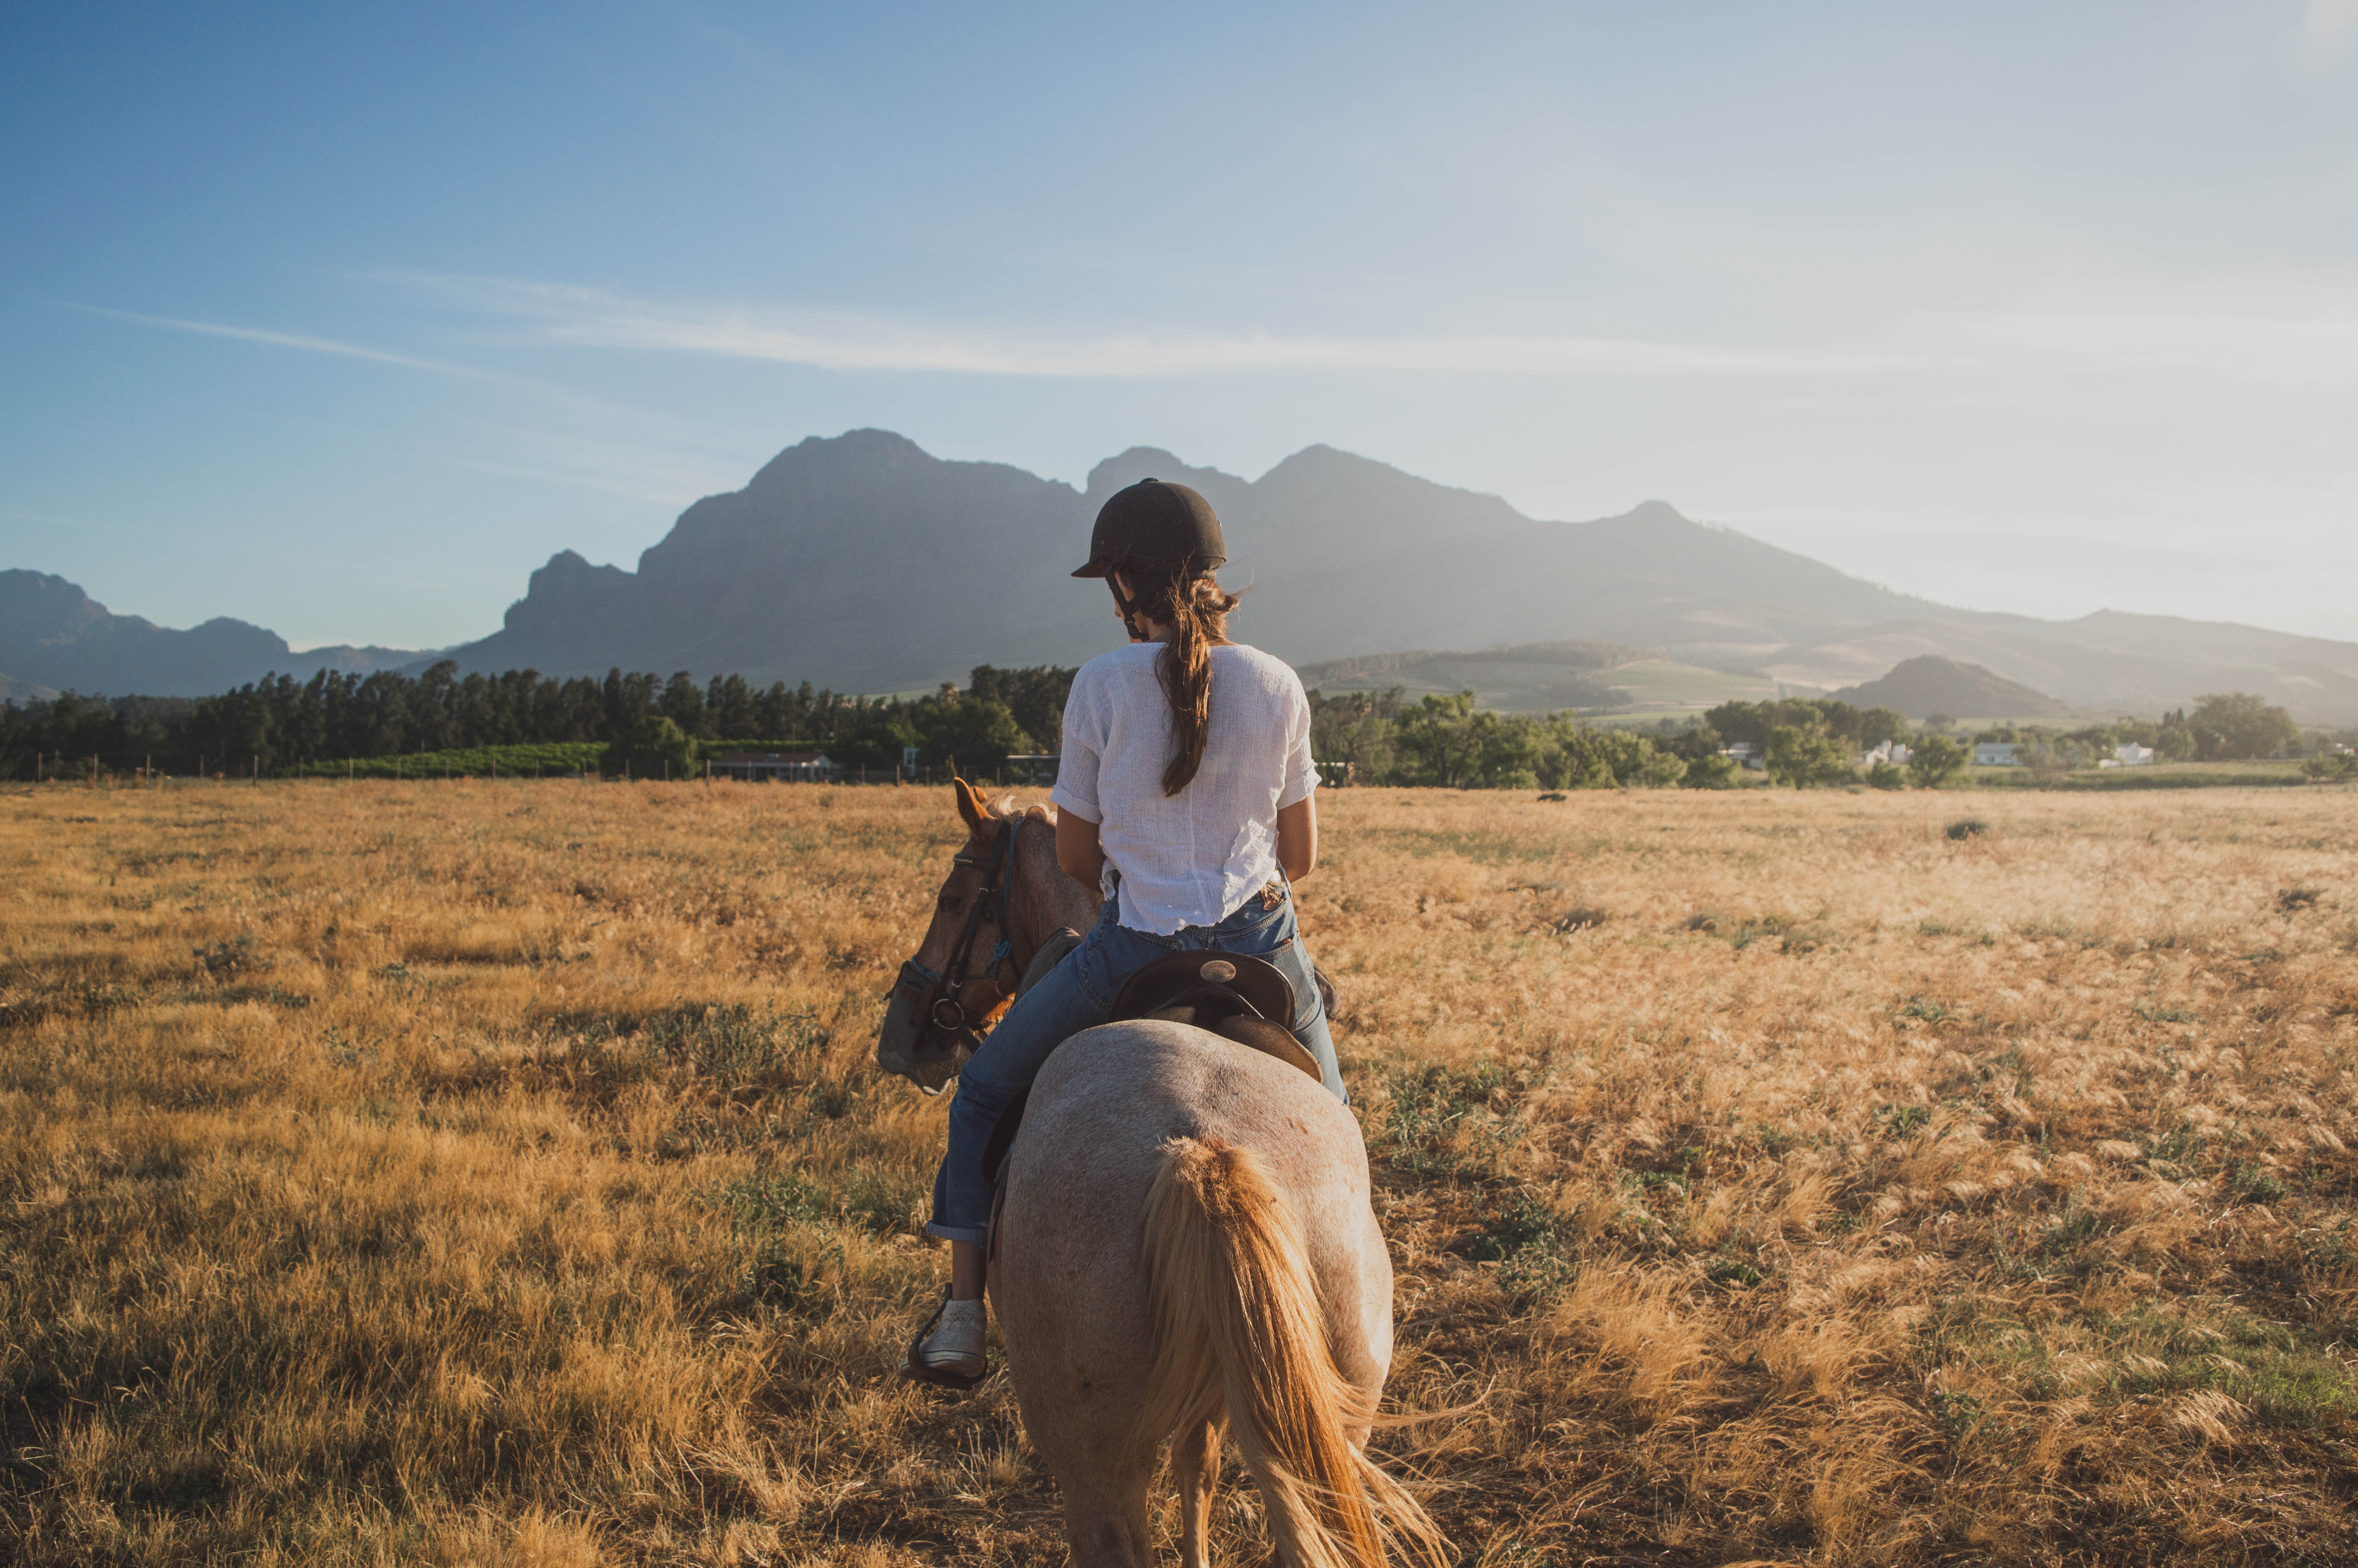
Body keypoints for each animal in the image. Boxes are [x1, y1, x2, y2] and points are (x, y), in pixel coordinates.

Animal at [882, 783, 1443, 1565]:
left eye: (952, 897)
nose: (904, 1040)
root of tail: (1207, 1154)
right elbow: (1199, 1466)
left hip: (1089, 1451)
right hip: (1335, 1414)